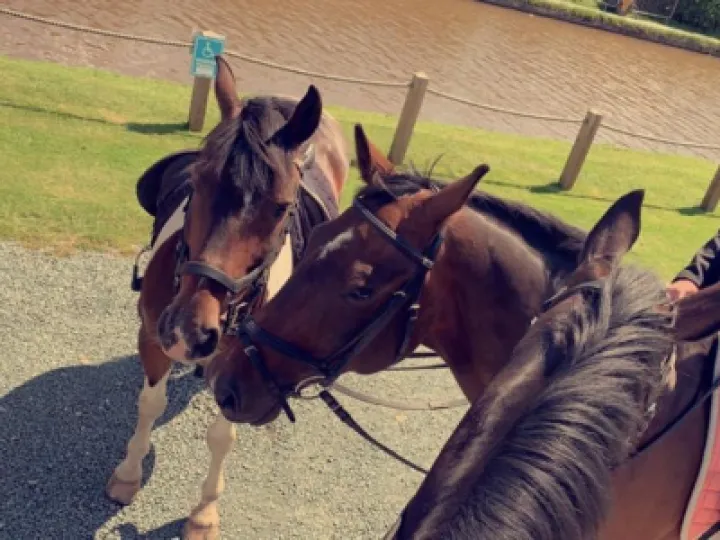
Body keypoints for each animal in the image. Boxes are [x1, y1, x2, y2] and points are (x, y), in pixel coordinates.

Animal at [106, 55, 349, 540]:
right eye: (197, 182)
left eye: (281, 207)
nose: (189, 329)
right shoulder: (153, 336)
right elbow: (150, 403)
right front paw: (127, 474)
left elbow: (222, 435)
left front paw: (203, 513)